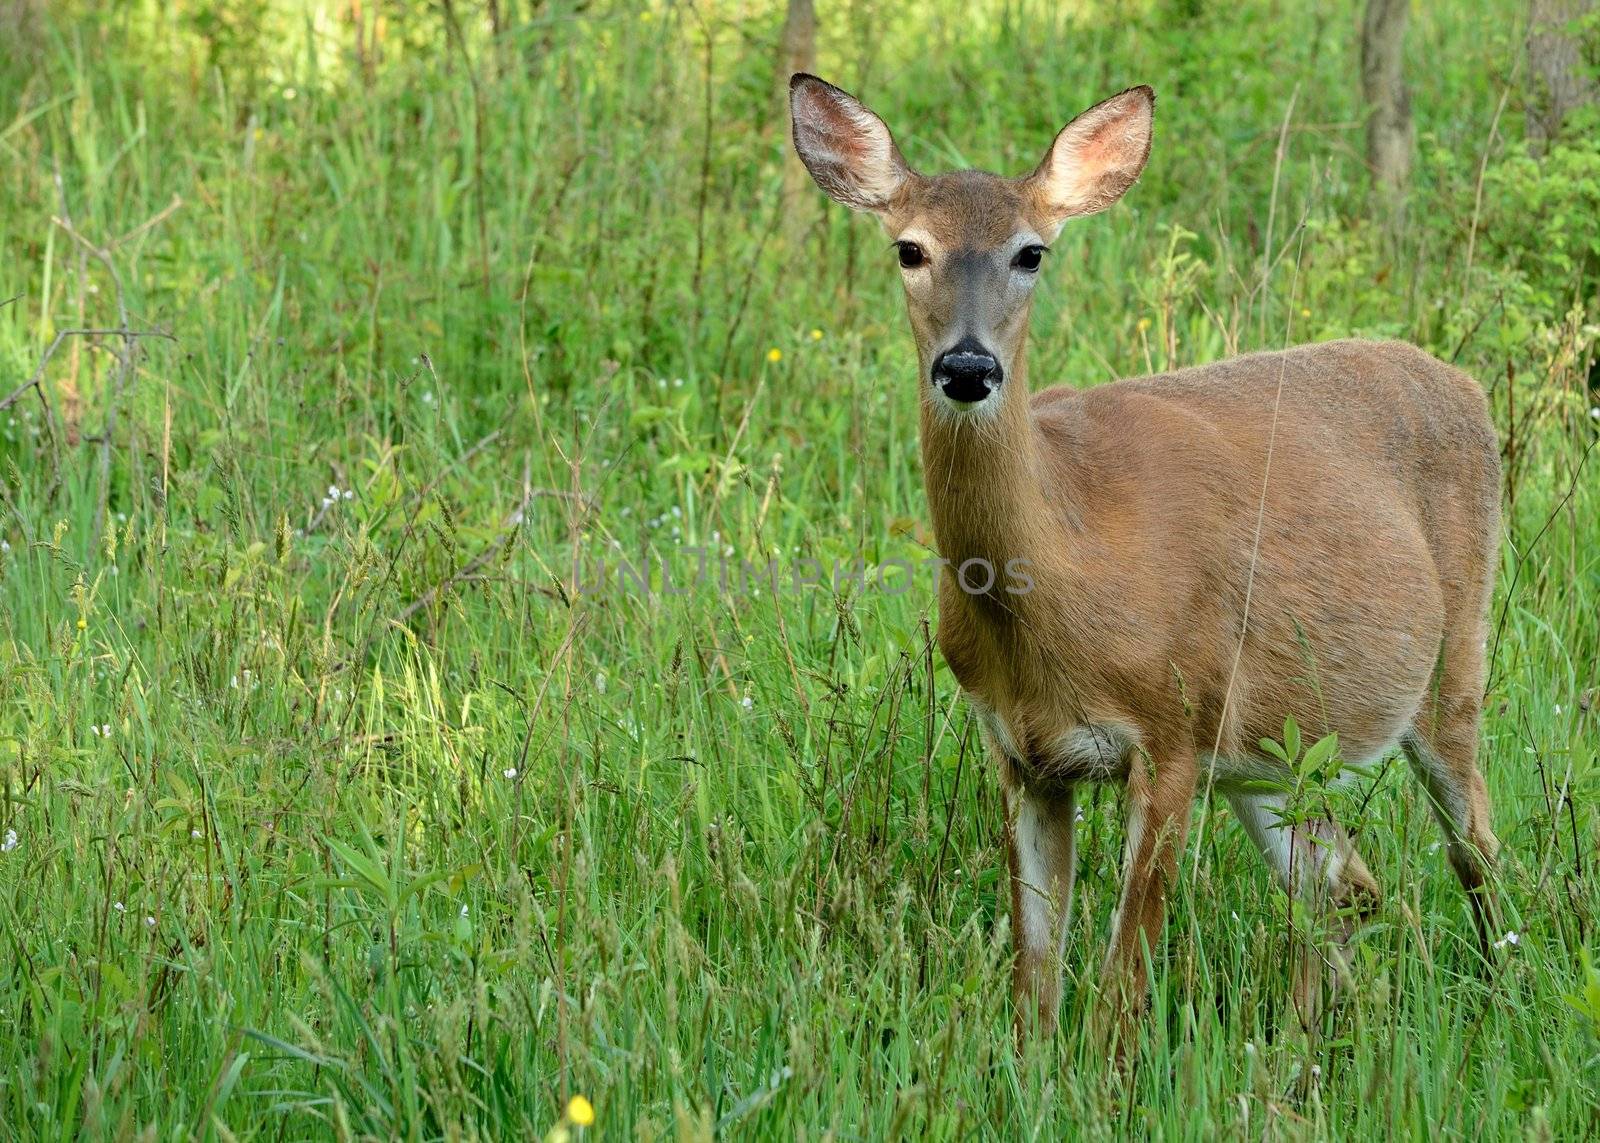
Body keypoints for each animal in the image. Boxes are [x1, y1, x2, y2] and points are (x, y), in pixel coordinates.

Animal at [793, 73, 1504, 1050]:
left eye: (1031, 253)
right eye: (910, 248)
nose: (968, 367)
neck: (1064, 574)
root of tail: (1467, 385)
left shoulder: (1172, 730)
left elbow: (1121, 987)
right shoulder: (1022, 753)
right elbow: (1036, 981)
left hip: (1451, 664)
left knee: (1476, 849)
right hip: (1270, 749)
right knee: (1343, 887)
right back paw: (1300, 1050)